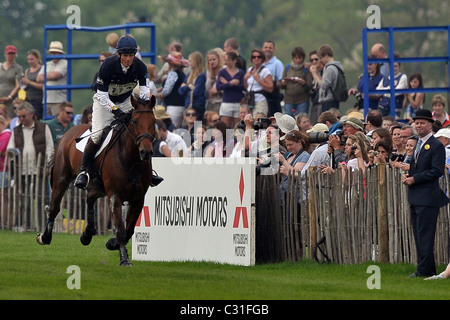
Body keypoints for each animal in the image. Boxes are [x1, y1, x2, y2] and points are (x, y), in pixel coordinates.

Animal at [37, 95, 157, 264]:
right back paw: (45, 237)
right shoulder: (114, 196)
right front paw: (124, 259)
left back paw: (87, 234)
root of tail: (67, 133)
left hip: (97, 187)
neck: (132, 160)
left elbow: (129, 230)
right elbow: (121, 230)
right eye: (134, 122)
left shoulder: (138, 198)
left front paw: (112, 243)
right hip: (61, 180)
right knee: (54, 207)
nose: (146, 152)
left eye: (154, 122)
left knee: (90, 199)